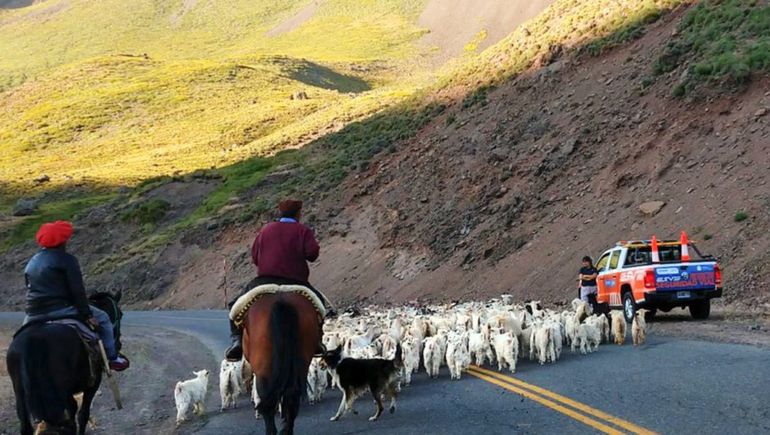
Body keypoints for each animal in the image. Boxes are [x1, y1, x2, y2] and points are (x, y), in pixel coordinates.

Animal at [6, 292, 123, 434]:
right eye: (121, 314)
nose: (119, 345)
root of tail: (32, 340)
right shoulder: (93, 383)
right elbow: (83, 414)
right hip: (63, 393)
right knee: (69, 421)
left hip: (20, 394)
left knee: (27, 425)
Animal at [243, 292, 320, 435]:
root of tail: (282, 302)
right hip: (300, 363)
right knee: (292, 397)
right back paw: (286, 430)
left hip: (263, 370)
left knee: (267, 401)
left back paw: (271, 430)